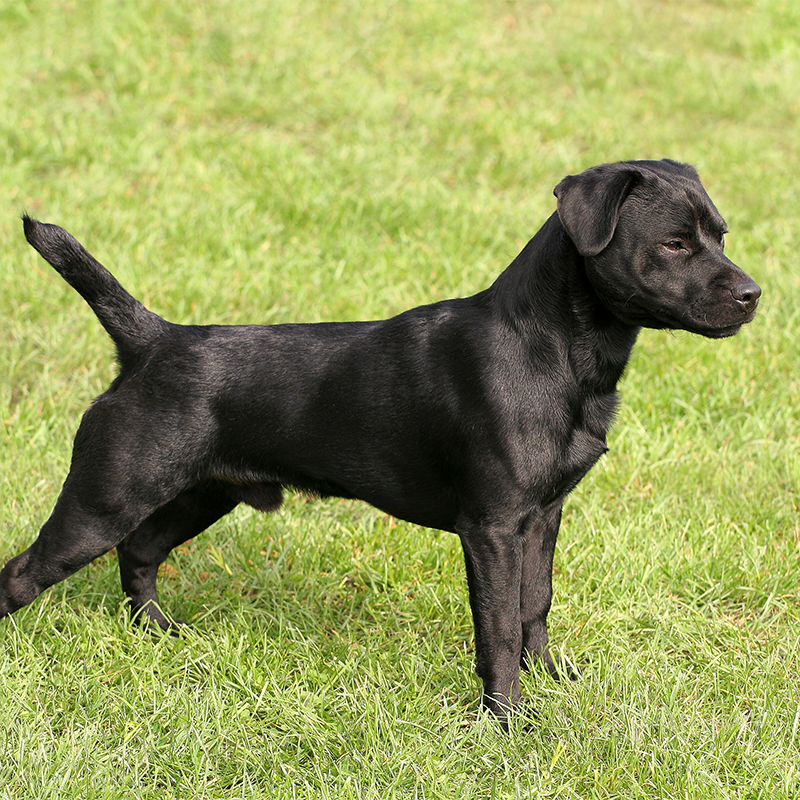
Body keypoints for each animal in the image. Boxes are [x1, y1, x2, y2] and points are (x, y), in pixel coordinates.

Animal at [0, 161, 760, 724]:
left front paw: (552, 680)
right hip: (103, 500)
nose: (752, 292)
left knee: (139, 554)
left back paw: (162, 636)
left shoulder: (543, 516)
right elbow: (499, 625)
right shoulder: (493, 528)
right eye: (675, 243)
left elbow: (535, 606)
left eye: (720, 235)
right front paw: (508, 720)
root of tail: (152, 340)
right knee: (23, 573)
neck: (557, 350)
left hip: (201, 495)